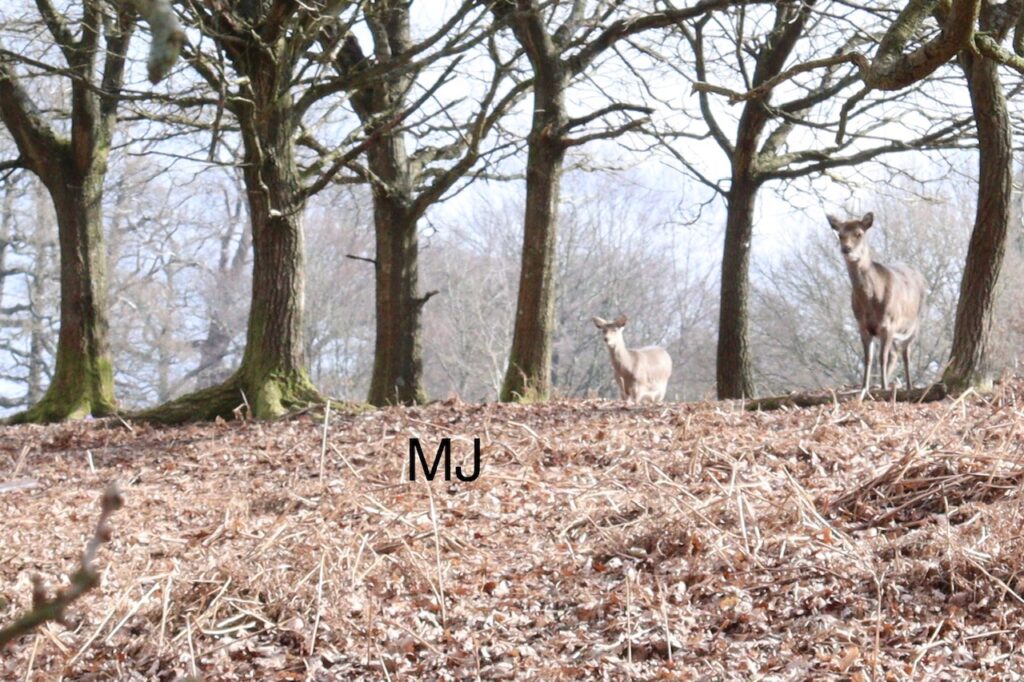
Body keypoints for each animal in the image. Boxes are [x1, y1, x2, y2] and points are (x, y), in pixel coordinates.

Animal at [827, 212, 928, 398]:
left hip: (914, 323)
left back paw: (909, 386)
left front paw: (884, 388)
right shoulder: (862, 325)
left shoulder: (889, 324)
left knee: (906, 353)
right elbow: (868, 358)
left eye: (859, 233)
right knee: (895, 352)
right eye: (840, 234)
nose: (846, 249)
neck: (870, 302)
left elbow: (882, 357)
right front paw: (864, 387)